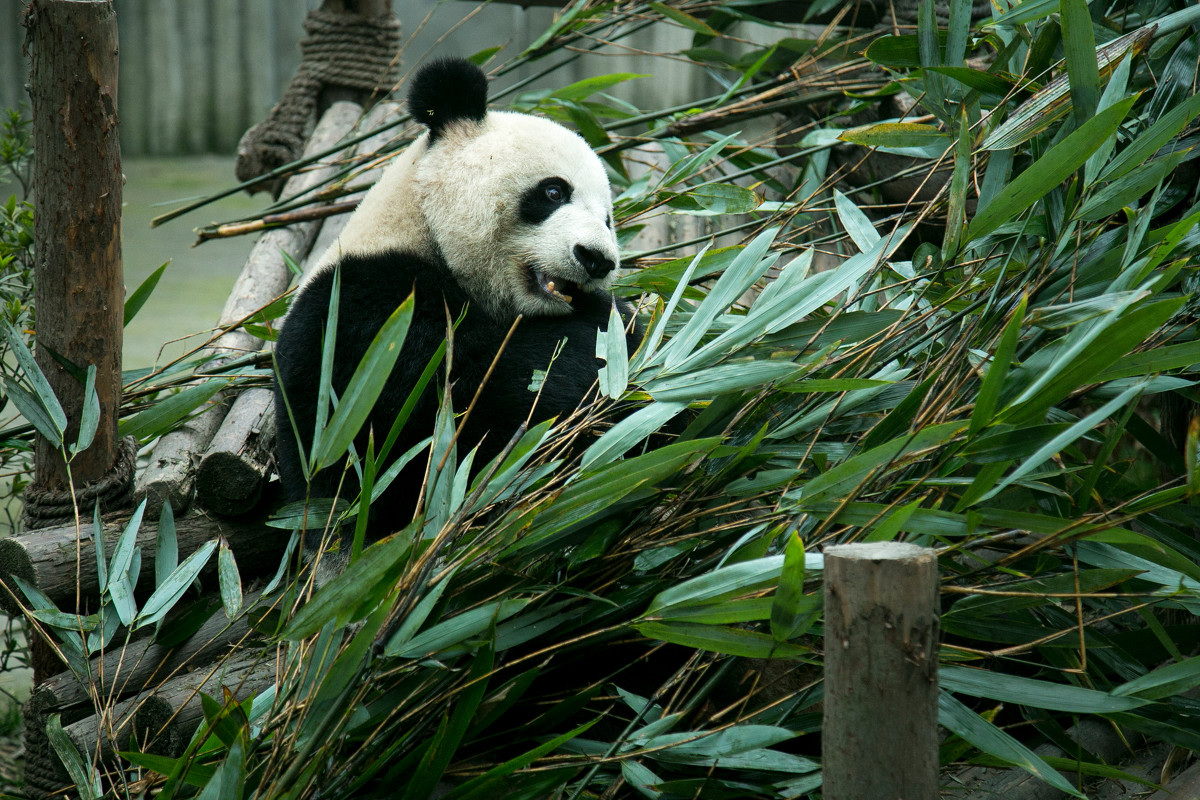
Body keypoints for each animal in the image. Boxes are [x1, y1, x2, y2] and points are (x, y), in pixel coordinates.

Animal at [274, 57, 643, 556]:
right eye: (553, 192)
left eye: (607, 219)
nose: (597, 259)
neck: (422, 227)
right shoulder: (368, 314)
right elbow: (453, 408)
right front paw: (605, 333)